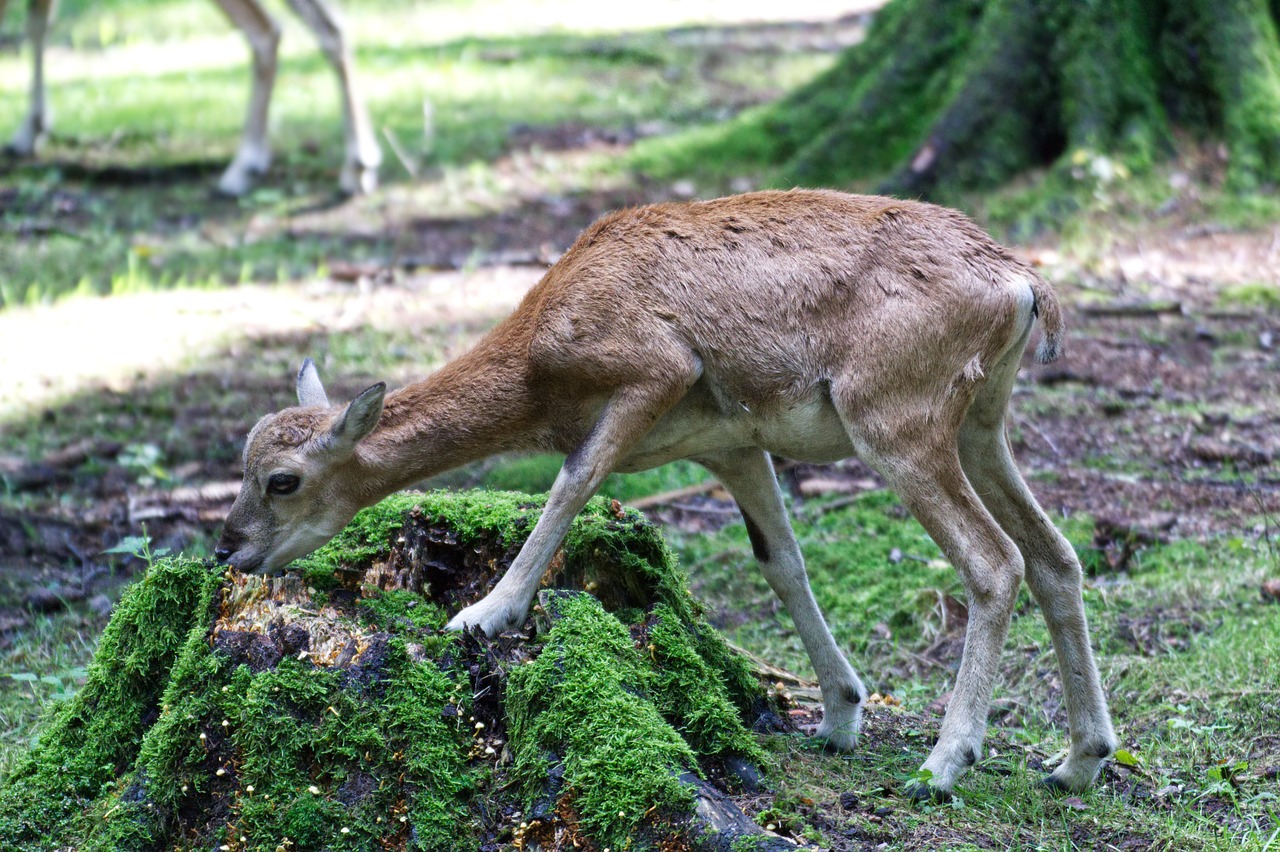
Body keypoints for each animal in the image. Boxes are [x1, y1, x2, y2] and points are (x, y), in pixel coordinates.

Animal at [2, 0, 381, 194]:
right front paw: (30, 130)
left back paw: (244, 165)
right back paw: (359, 164)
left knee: (266, 32)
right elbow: (39, 21)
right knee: (331, 23)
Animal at [217, 189, 1111, 793]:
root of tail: (1026, 285)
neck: (541, 359)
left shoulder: (653, 372)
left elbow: (572, 484)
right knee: (1057, 555)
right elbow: (780, 561)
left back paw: (945, 762)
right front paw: (839, 713)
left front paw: (483, 614)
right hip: (981, 424)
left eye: (282, 480)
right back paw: (1077, 760)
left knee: (994, 562)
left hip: (896, 419)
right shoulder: (733, 446)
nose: (231, 549)